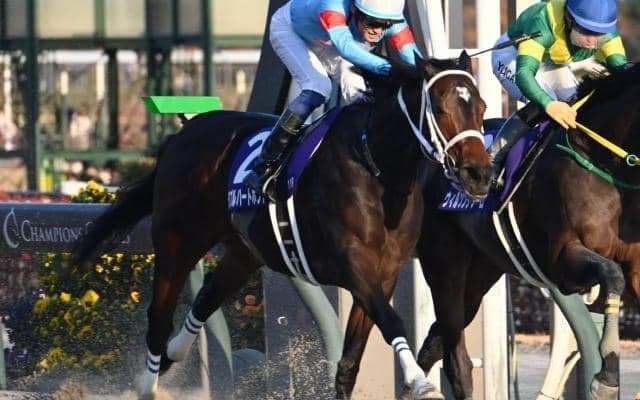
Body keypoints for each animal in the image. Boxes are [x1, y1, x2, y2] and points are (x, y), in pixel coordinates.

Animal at [73, 51, 493, 400]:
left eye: (482, 106)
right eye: (440, 107)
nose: (479, 174)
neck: (376, 168)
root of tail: (182, 134)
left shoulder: (385, 274)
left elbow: (350, 362)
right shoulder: (354, 267)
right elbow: (392, 321)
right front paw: (420, 383)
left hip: (243, 252)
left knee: (206, 299)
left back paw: (176, 353)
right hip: (178, 243)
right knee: (158, 318)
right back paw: (147, 384)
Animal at [413, 63, 640, 400]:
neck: (605, 166)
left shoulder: (636, 264)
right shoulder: (561, 260)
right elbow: (612, 274)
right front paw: (607, 377)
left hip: (480, 274)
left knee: (433, 345)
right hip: (446, 268)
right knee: (454, 358)